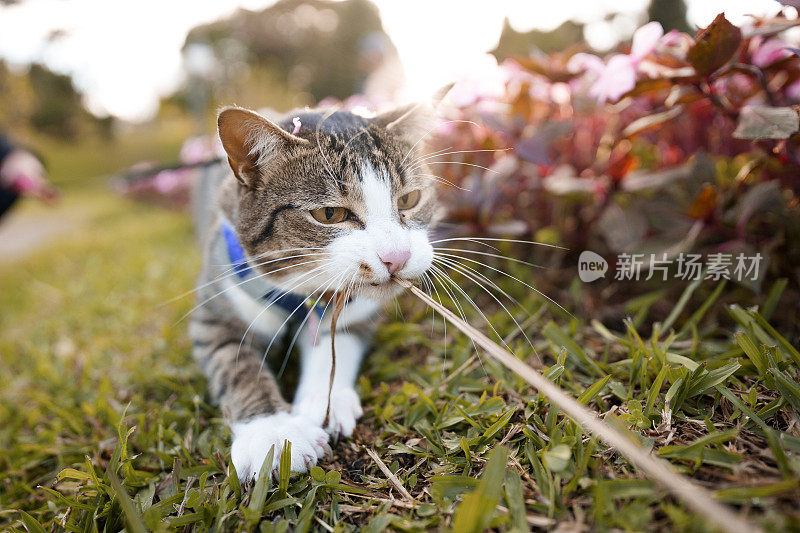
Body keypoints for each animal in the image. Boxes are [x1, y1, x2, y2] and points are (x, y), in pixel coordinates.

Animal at [191, 94, 446, 478]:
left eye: (409, 199)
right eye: (329, 214)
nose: (396, 257)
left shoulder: (351, 308)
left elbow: (334, 343)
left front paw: (323, 403)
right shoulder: (214, 310)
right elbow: (235, 365)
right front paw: (273, 433)